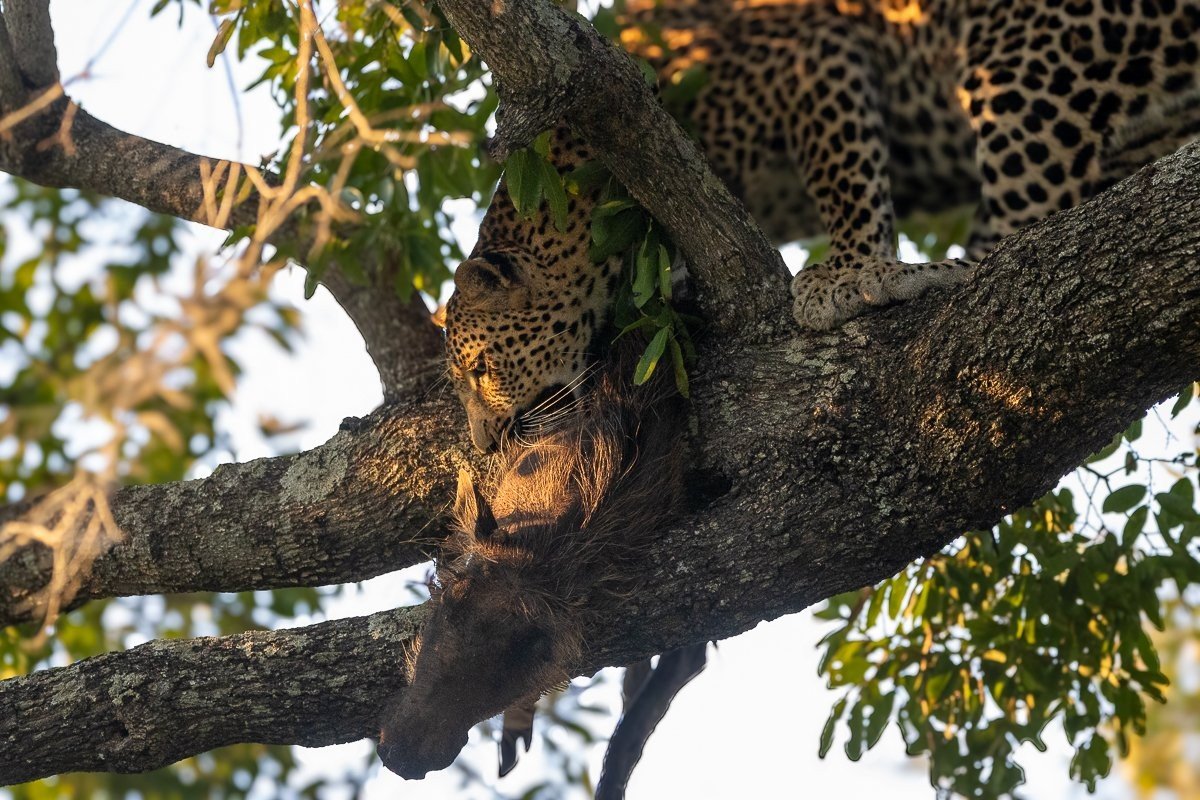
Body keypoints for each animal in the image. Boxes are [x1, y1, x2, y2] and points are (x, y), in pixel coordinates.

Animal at [444, 0, 1200, 452]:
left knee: (1023, 237)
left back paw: (924, 274)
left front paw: (848, 274)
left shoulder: (810, 56)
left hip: (1023, 59)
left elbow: (847, 179)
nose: (485, 445)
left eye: (481, 368)